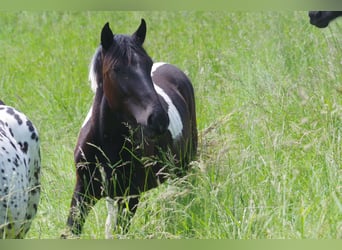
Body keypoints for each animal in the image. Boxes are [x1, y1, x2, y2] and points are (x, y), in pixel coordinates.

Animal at [62, 19, 198, 238]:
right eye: (116, 69)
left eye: (148, 64)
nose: (159, 119)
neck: (106, 142)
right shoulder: (83, 192)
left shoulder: (130, 197)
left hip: (184, 166)